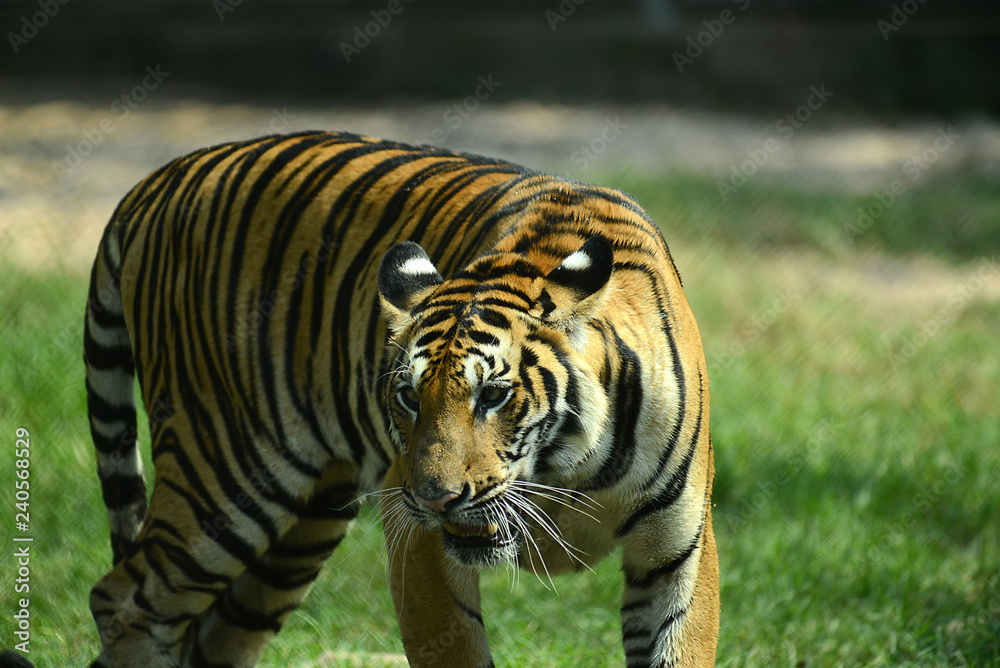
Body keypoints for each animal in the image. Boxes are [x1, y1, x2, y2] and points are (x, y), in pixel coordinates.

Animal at [81, 130, 719, 668]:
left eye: (493, 394)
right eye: (410, 397)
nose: (436, 498)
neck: (567, 475)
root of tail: (161, 179)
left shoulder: (678, 553)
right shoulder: (415, 532)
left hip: (303, 525)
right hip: (225, 475)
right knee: (125, 601)